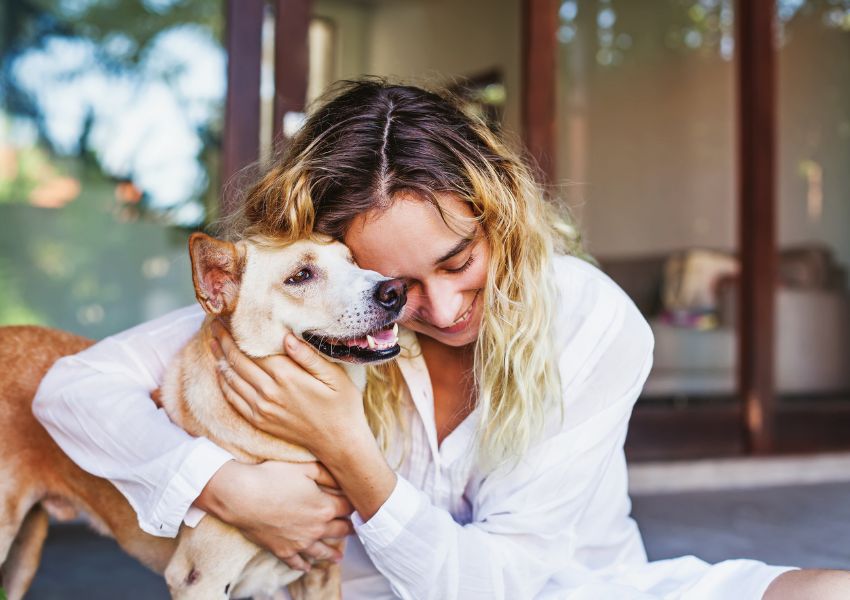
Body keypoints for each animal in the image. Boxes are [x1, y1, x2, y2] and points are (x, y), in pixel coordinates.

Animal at [0, 232, 408, 596]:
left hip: (24, 554)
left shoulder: (320, 573)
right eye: (301, 276)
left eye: (353, 260)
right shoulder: (198, 578)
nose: (395, 290)